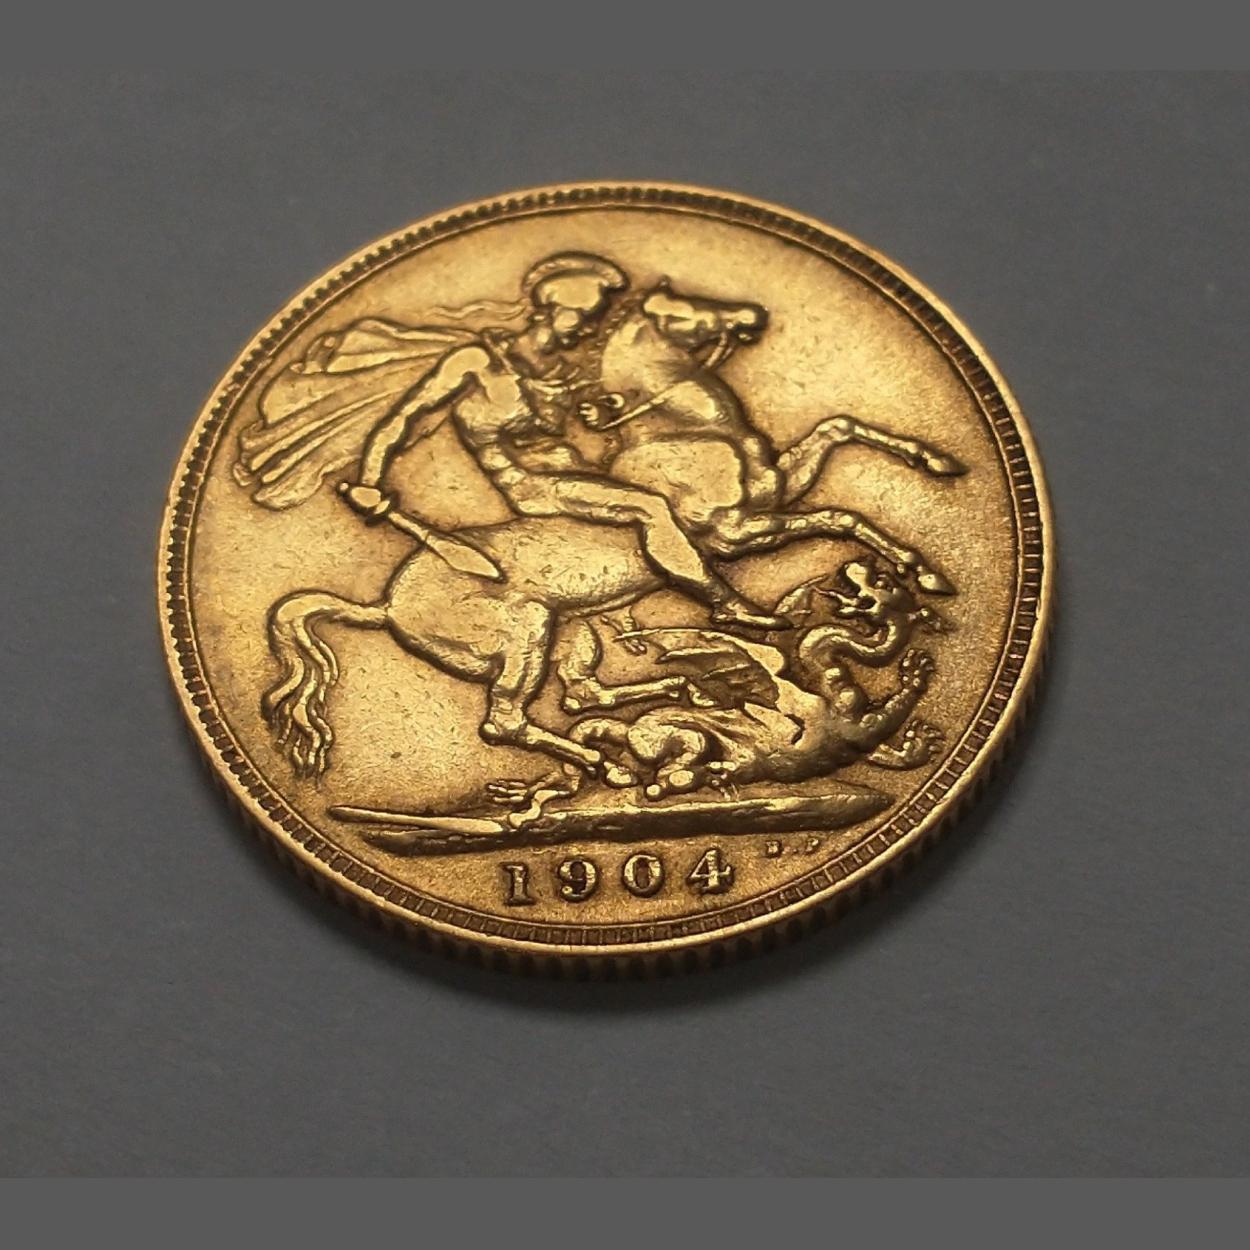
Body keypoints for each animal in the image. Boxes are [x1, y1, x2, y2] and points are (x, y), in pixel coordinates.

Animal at [263, 282, 963, 782]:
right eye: (683, 309)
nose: (751, 314)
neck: (682, 427)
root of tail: (384, 605)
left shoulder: (775, 490)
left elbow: (840, 434)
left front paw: (934, 475)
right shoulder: (737, 531)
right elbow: (837, 516)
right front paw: (760, 615)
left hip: (575, 628)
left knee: (580, 694)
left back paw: (659, 703)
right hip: (526, 634)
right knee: (504, 723)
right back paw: (607, 761)